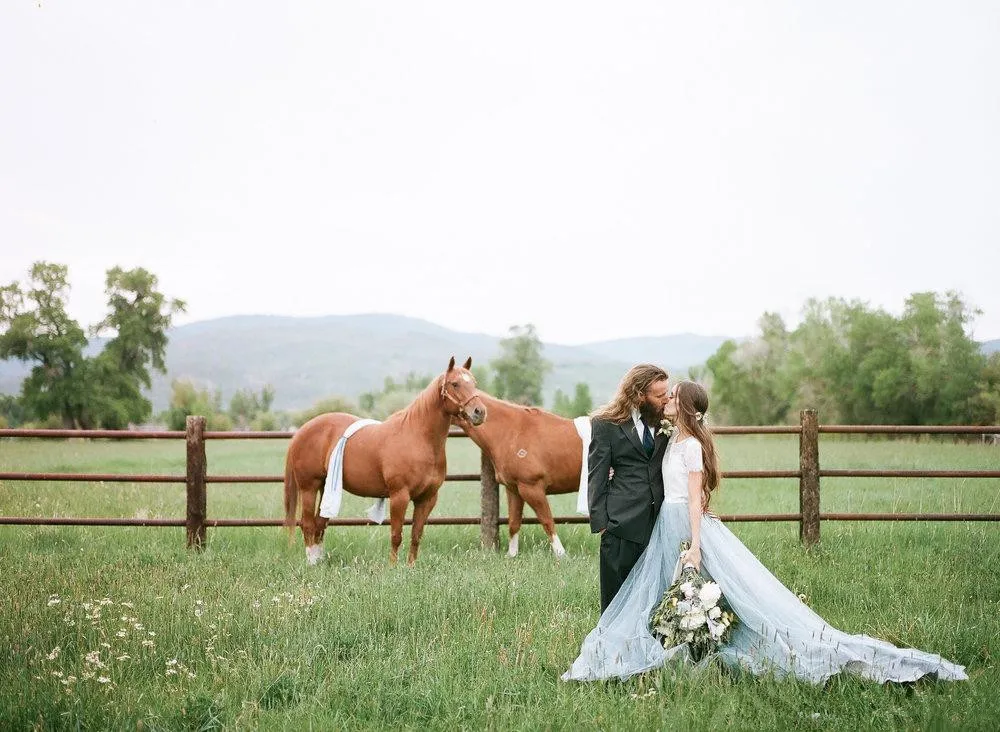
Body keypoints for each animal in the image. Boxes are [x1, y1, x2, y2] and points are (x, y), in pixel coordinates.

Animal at [284, 358, 486, 568]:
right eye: (455, 384)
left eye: (474, 383)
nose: (480, 412)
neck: (418, 438)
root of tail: (302, 431)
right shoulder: (399, 496)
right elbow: (396, 535)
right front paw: (393, 567)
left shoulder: (427, 499)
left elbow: (416, 535)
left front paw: (411, 567)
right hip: (309, 487)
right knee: (307, 524)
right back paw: (311, 563)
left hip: (327, 487)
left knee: (320, 524)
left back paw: (319, 561)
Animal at [458, 392, 584, 556]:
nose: (477, 413)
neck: (513, 431)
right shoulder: (513, 489)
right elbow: (514, 522)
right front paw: (511, 555)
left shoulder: (532, 488)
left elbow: (547, 521)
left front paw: (561, 555)